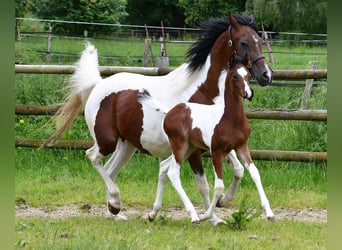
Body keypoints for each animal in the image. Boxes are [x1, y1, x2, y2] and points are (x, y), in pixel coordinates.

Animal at [138, 63, 272, 225]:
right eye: (235, 76)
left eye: (248, 75)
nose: (248, 93)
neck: (230, 119)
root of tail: (170, 111)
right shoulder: (216, 152)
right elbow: (219, 186)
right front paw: (207, 215)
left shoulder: (241, 146)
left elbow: (255, 173)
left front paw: (269, 213)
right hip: (180, 145)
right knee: (173, 172)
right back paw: (194, 216)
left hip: (190, 148)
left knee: (164, 166)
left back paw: (153, 214)